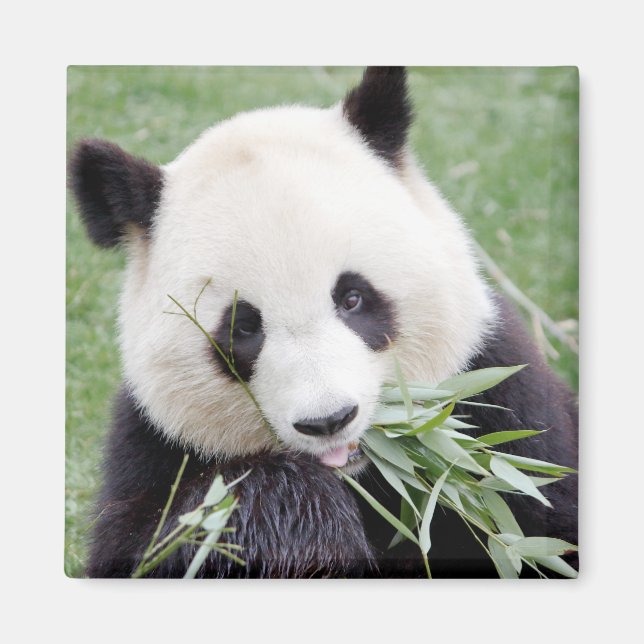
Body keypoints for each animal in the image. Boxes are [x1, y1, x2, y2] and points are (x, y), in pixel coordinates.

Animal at [70, 66, 578, 578]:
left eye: (352, 298)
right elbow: (162, 542)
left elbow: (544, 529)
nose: (328, 420)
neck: (361, 475)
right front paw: (295, 519)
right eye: (242, 328)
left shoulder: (501, 400)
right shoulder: (155, 444)